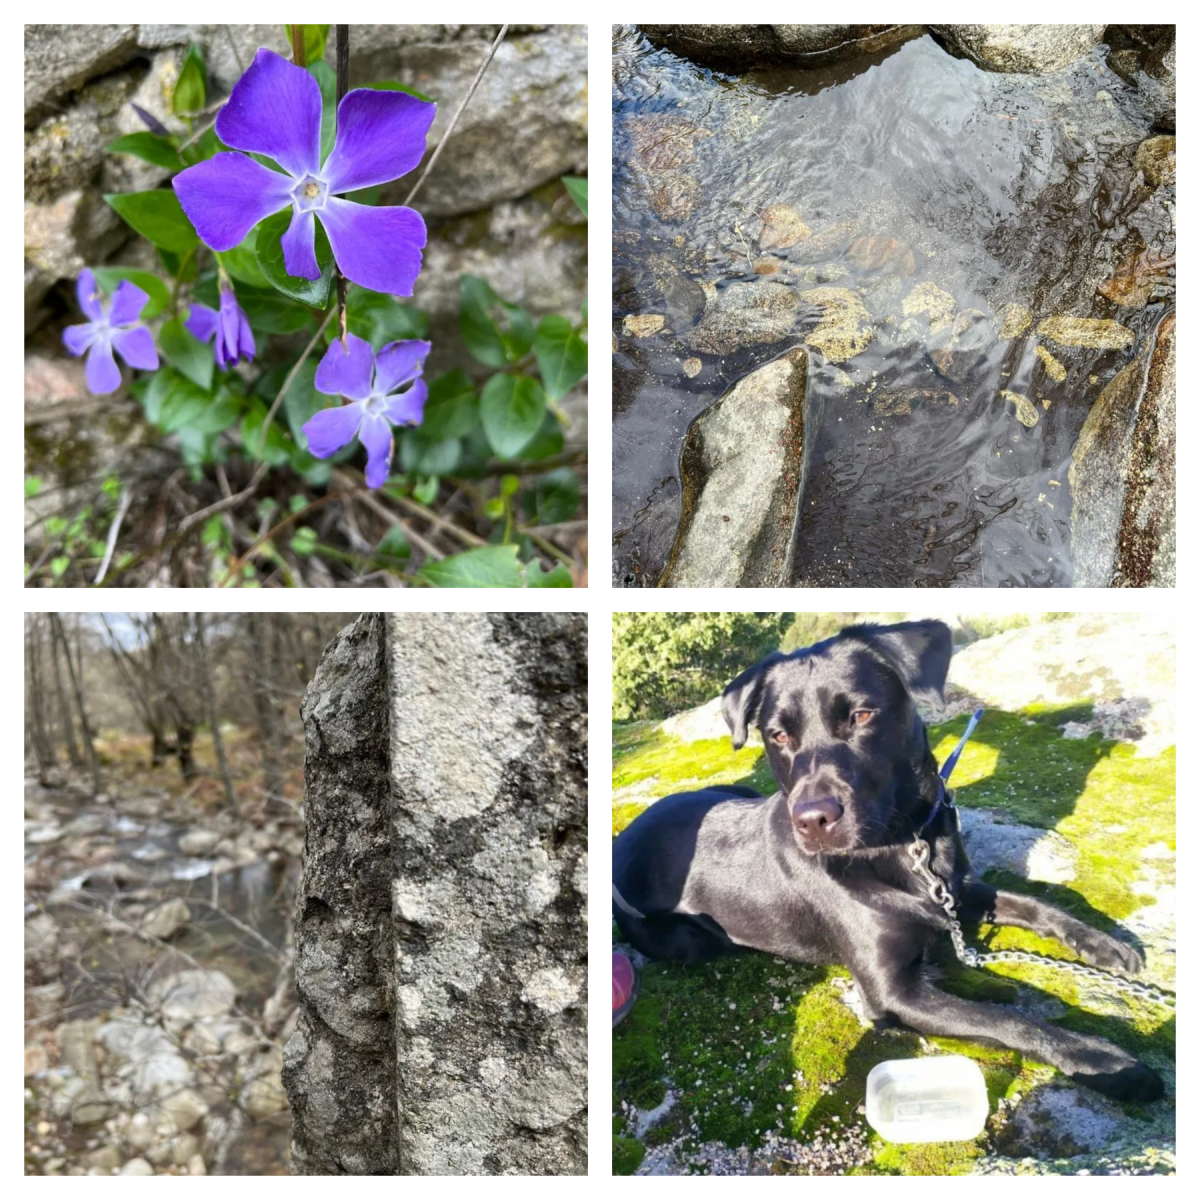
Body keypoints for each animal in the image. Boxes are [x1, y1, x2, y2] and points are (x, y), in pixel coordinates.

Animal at [614, 624, 1156, 1099]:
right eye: (777, 735)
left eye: (860, 716)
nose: (812, 820)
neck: (903, 846)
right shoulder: (894, 993)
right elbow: (1007, 1019)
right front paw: (1101, 1060)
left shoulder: (957, 891)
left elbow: (1037, 905)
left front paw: (1105, 945)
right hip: (688, 940)